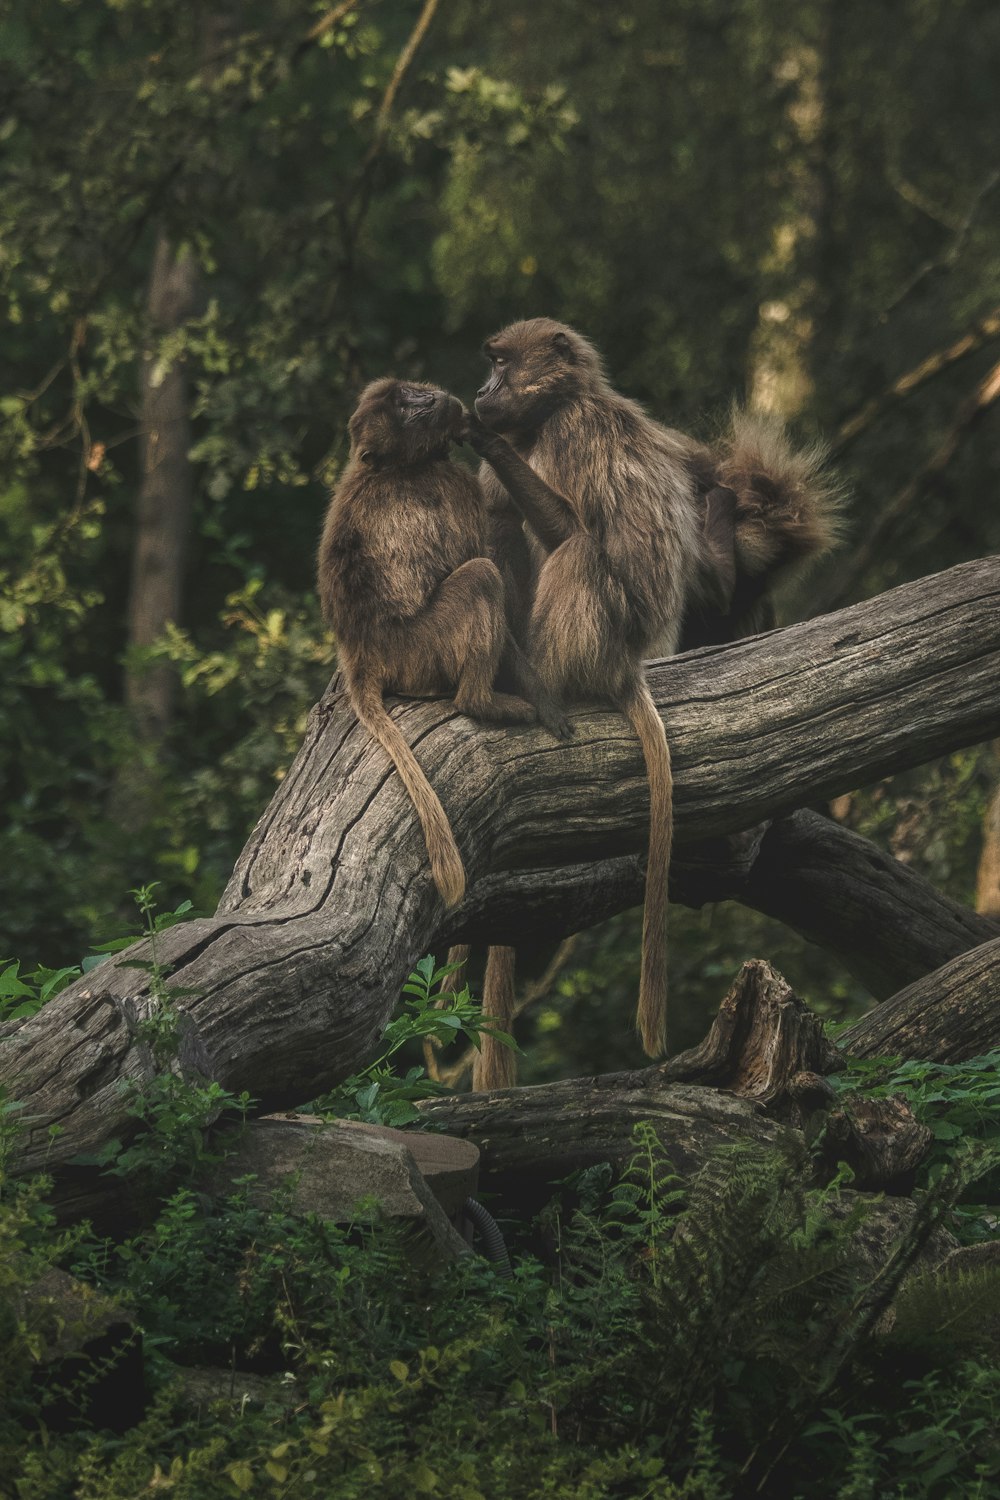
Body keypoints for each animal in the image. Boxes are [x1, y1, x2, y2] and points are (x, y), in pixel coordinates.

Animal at [320, 375, 569, 912]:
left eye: (409, 392)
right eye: (407, 408)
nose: (431, 397)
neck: (400, 467)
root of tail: (361, 654)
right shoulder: (454, 490)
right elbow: (475, 559)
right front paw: (542, 697)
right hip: (423, 651)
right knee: (479, 576)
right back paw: (481, 701)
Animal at [458, 319, 839, 1092]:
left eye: (501, 365)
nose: (482, 390)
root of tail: (629, 667)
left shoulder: (569, 432)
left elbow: (572, 524)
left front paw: (482, 440)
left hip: (595, 639)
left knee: (579, 546)